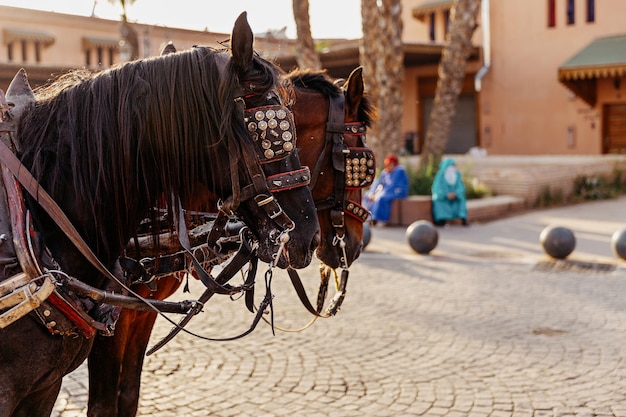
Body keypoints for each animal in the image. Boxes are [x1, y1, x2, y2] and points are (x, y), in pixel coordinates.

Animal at [84, 66, 372, 416]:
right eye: (358, 163)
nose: (355, 245)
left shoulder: (142, 313)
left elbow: (128, 394)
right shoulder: (110, 322)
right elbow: (103, 403)